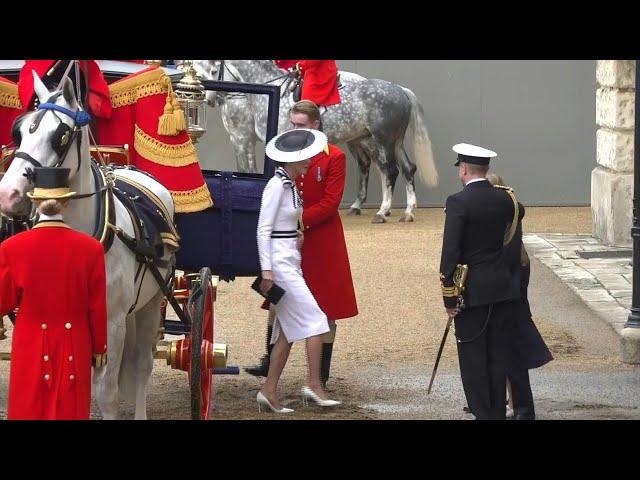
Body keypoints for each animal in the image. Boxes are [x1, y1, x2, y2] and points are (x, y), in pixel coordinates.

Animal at [0, 71, 175, 420]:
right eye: (20, 130)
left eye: (60, 135)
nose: (8, 194)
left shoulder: (113, 322)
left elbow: (106, 393)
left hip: (150, 304)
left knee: (142, 367)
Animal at [192, 60, 438, 223]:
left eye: (213, 70)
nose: (210, 99)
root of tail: (401, 90)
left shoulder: (257, 139)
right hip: (391, 141)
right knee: (407, 168)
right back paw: (406, 211)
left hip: (382, 139)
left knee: (390, 170)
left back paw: (381, 211)